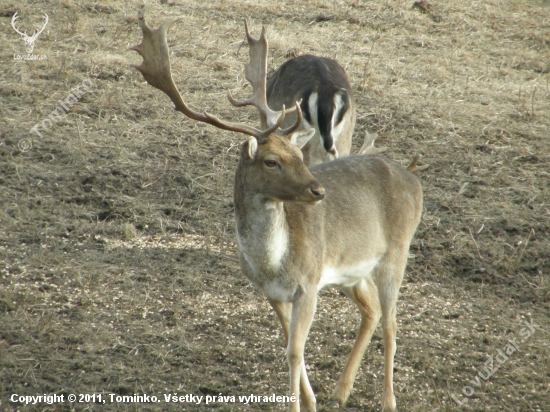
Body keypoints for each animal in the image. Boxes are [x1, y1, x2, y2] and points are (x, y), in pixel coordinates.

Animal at [132, 8, 424, 408]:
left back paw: (388, 400)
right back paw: (340, 390)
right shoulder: (272, 293)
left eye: (297, 155)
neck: (272, 263)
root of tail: (414, 180)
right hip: (352, 272)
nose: (318, 190)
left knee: (393, 321)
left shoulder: (309, 284)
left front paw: (299, 404)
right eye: (272, 161)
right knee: (373, 311)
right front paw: (311, 400)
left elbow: (295, 351)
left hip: (396, 254)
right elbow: (290, 345)